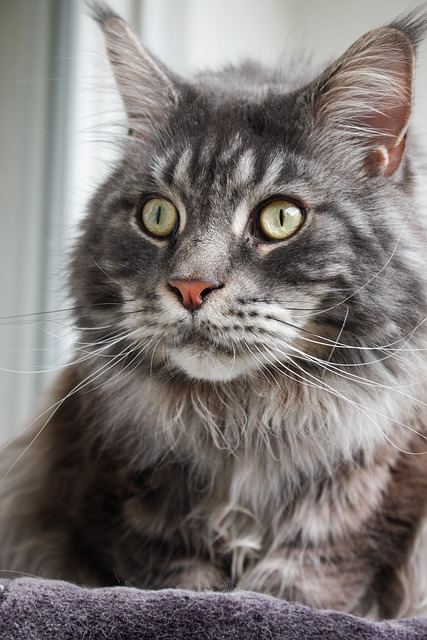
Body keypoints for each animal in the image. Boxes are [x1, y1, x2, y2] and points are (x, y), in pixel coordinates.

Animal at [0, 0, 427, 620]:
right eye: (157, 215)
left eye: (280, 218)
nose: (191, 287)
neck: (243, 421)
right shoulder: (103, 486)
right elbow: (168, 576)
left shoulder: (377, 485)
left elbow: (311, 576)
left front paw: (273, 600)